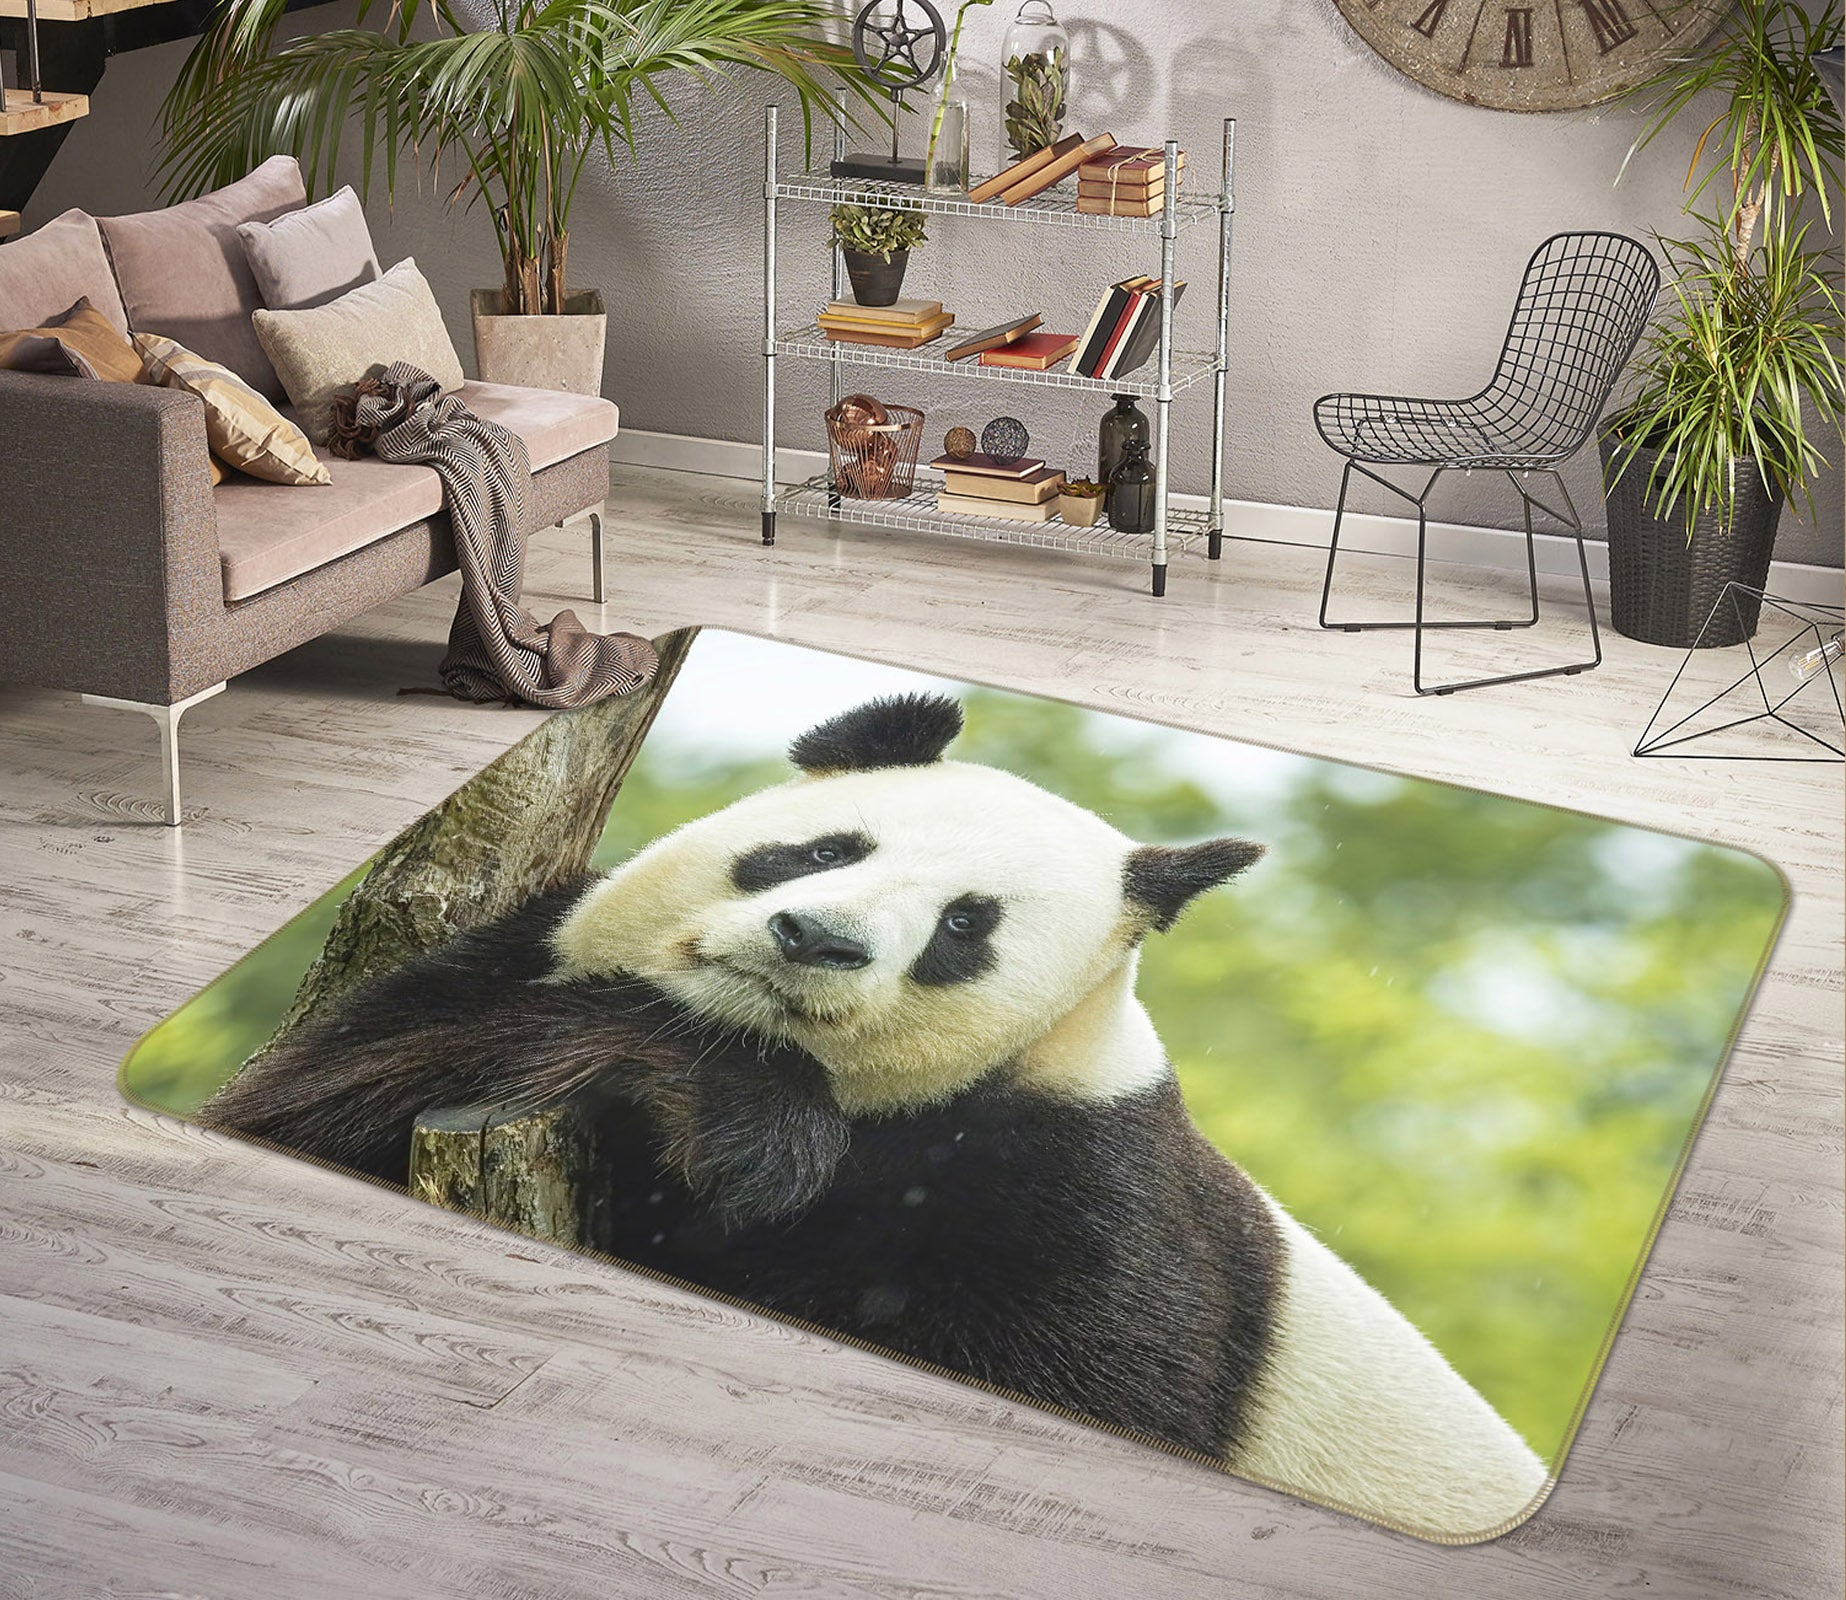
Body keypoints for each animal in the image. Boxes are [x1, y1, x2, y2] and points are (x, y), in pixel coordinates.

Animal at [207, 693, 1549, 1537]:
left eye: (966, 925)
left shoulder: (1087, 1191)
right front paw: (734, 1115)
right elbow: (323, 1094)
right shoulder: (507, 957)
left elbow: (1077, 1368)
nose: (817, 939)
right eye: (821, 850)